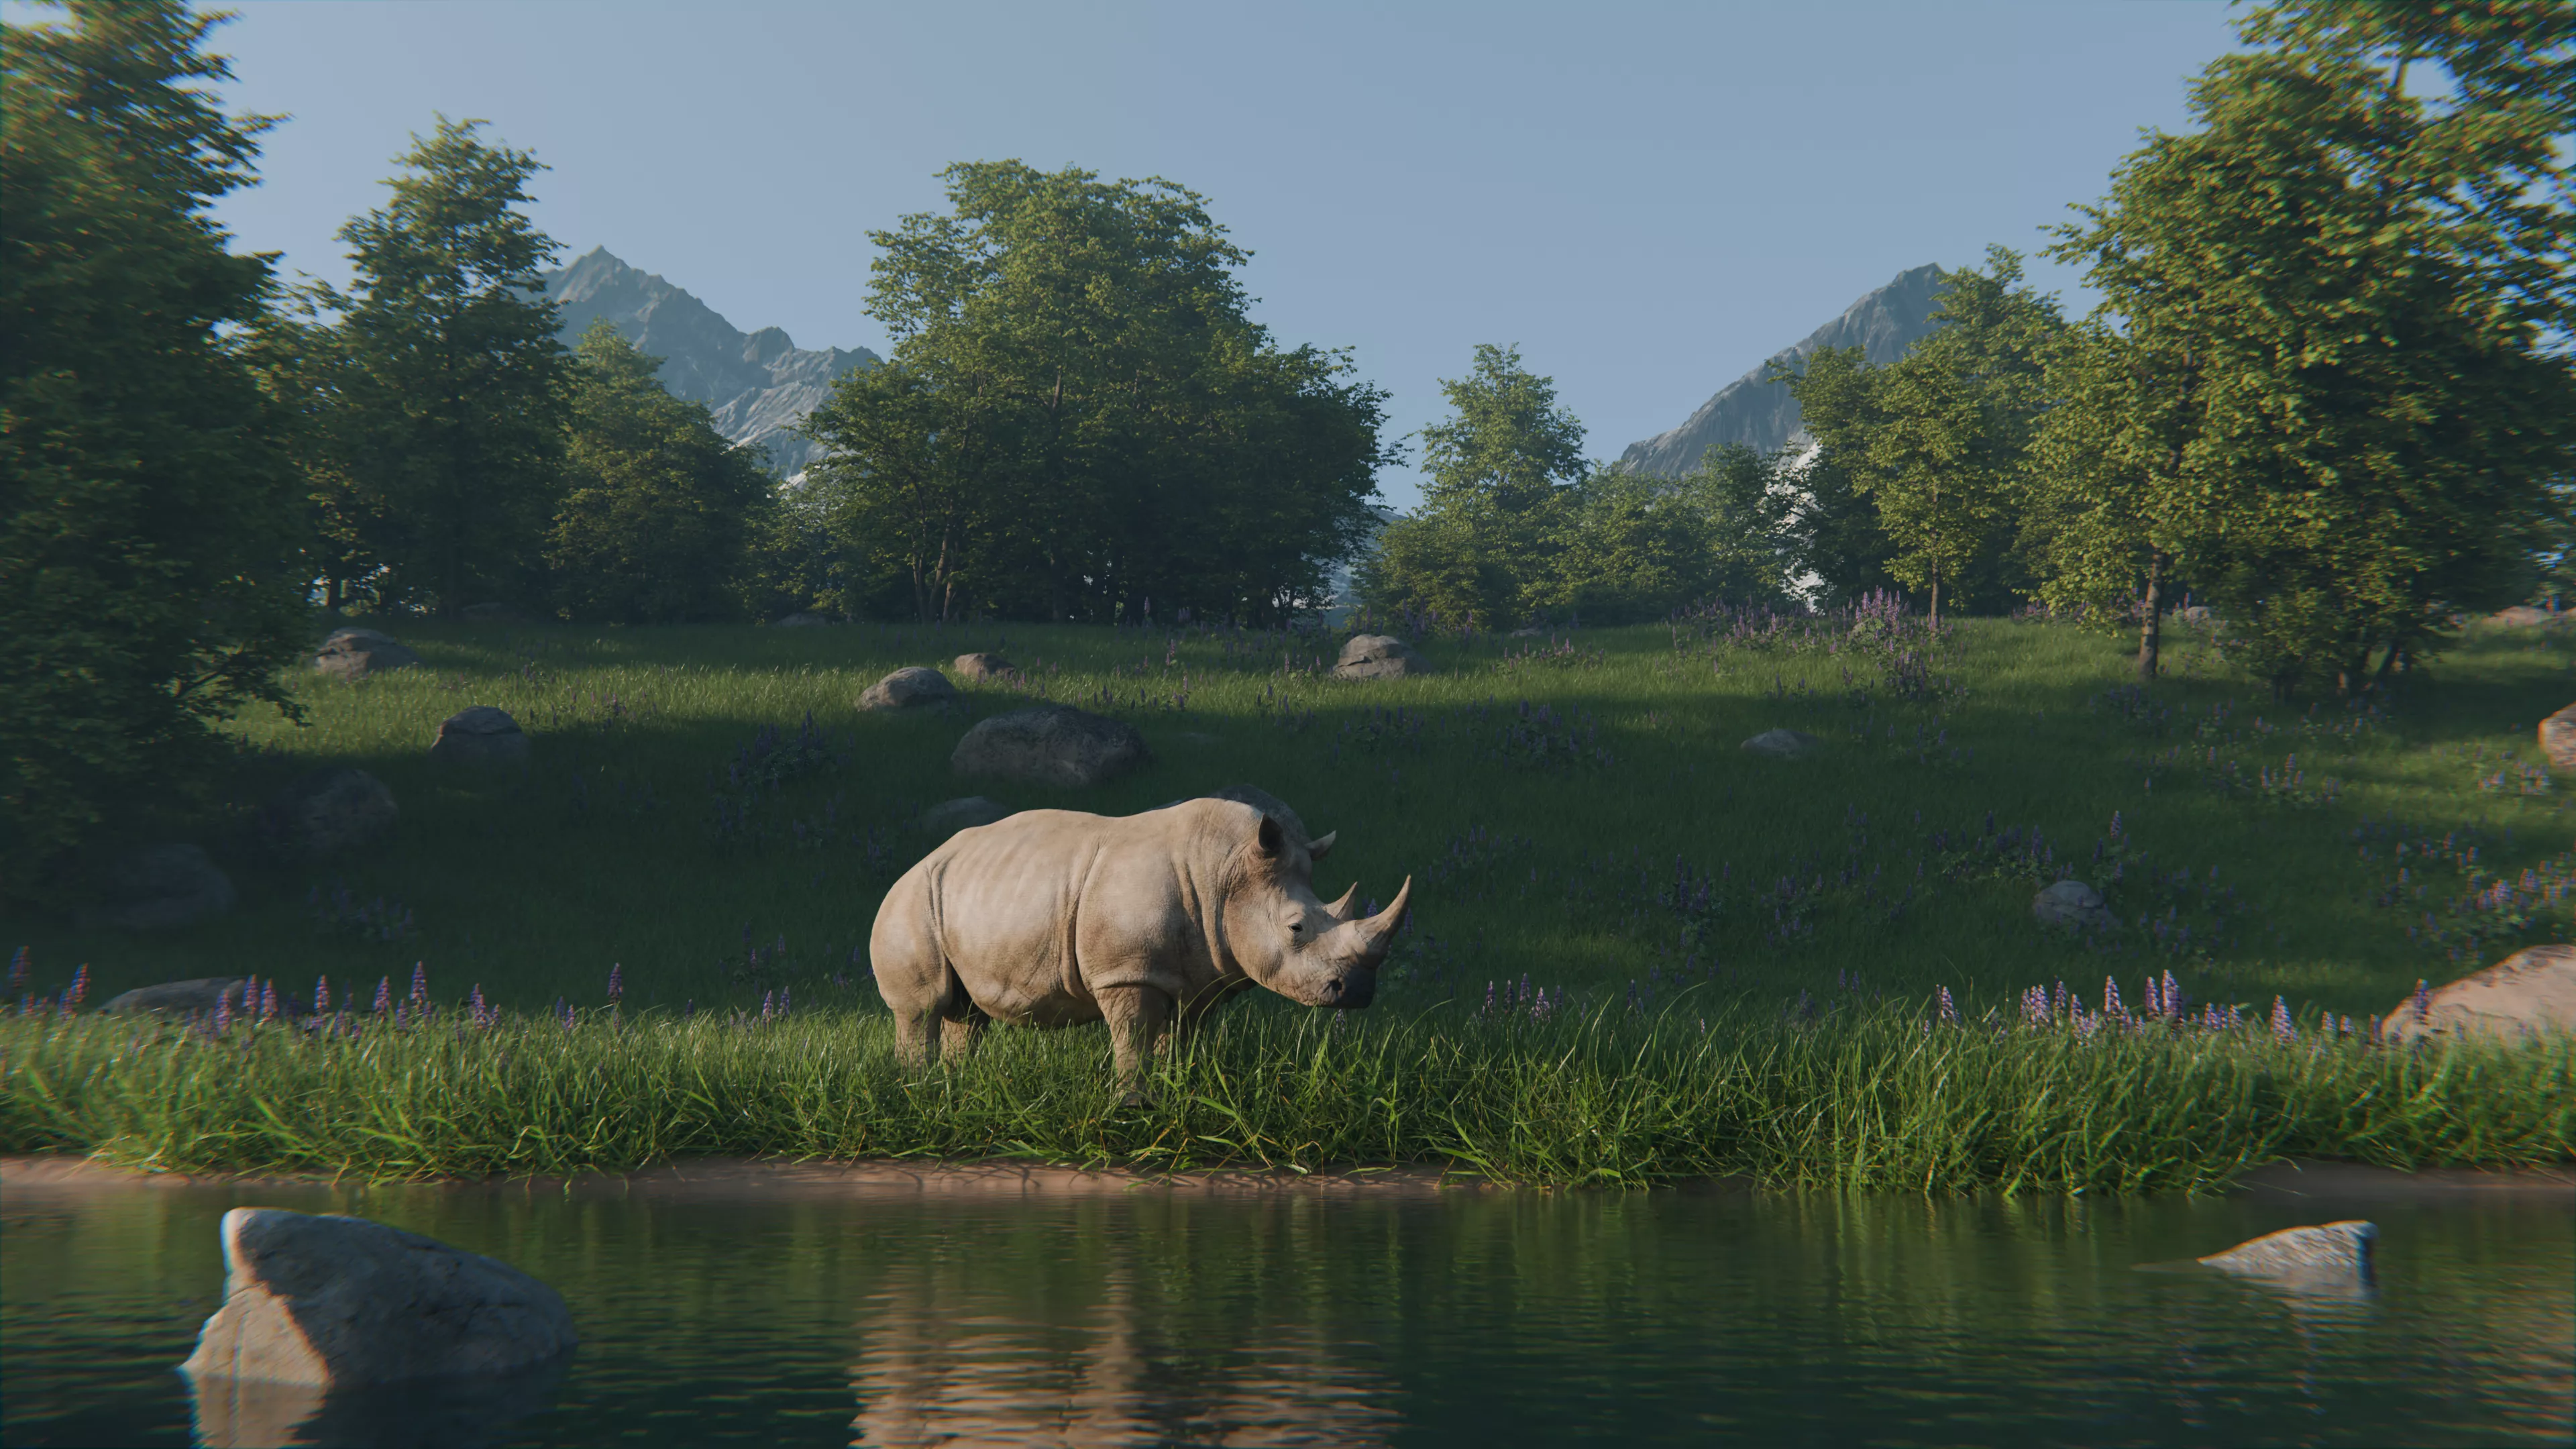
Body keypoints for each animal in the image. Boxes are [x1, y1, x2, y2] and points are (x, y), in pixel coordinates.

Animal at [870, 798, 1412, 1093]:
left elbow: (1181, 1041)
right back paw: (920, 1092)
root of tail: (919, 861)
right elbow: (1132, 1039)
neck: (1227, 873)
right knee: (924, 1007)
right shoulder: (1127, 972)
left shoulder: (1200, 977)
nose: (1357, 992)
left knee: (967, 1013)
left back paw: (953, 1089)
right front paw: (1131, 1105)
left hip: (975, 895)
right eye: (1297, 928)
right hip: (909, 902)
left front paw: (1180, 1093)